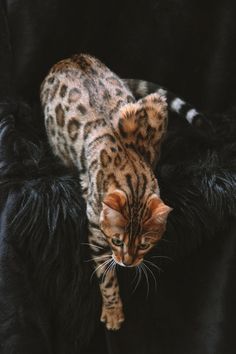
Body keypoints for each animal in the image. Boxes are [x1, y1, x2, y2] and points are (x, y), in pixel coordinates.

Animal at [39, 54, 171, 330]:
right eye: (117, 241)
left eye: (145, 245)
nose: (127, 263)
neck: (134, 181)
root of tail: (68, 58)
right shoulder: (97, 235)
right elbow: (107, 279)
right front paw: (112, 311)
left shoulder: (155, 109)